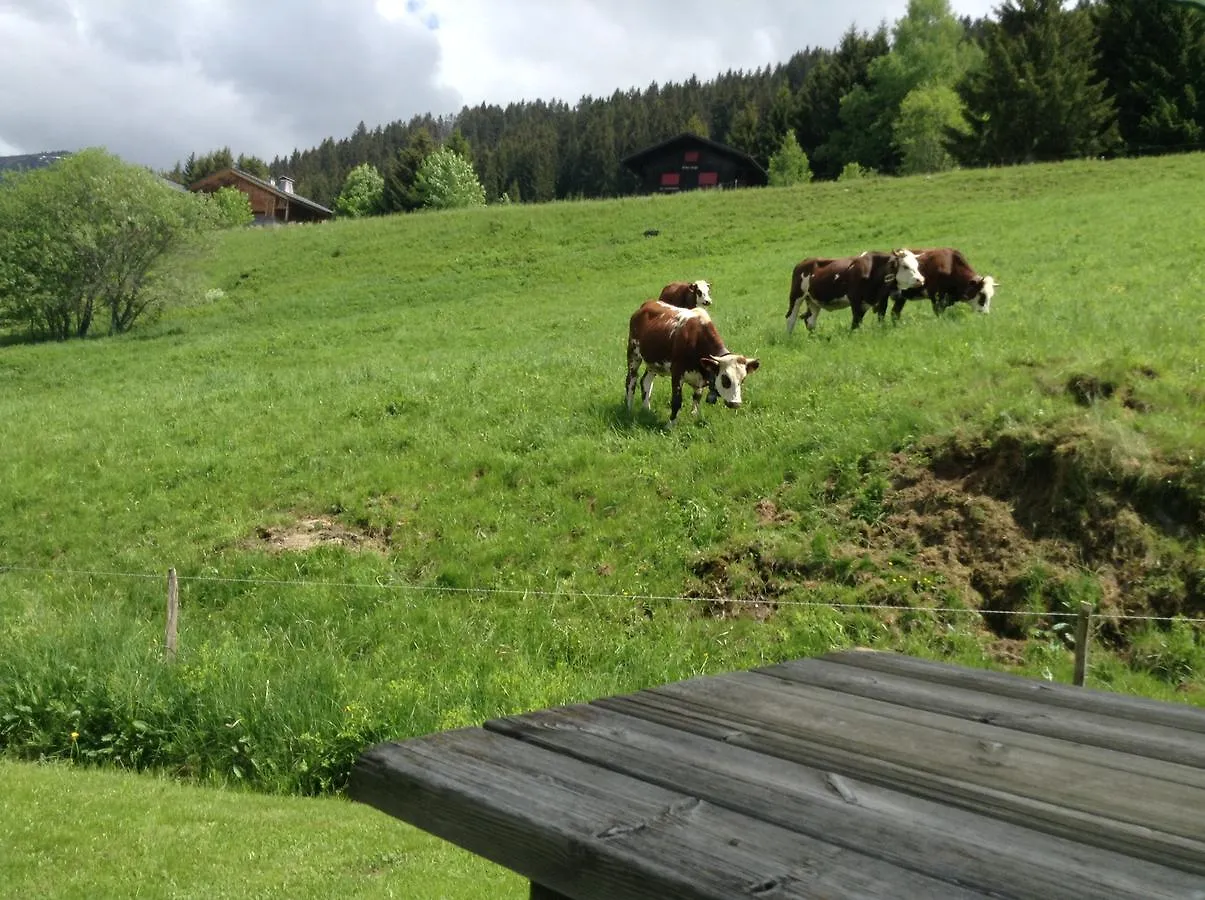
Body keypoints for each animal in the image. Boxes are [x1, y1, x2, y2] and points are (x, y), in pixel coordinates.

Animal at [626, 301, 756, 428]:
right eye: (725, 378)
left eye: (743, 379)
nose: (736, 403)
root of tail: (647, 303)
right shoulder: (677, 373)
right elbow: (677, 400)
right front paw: (670, 424)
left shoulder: (701, 377)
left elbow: (697, 397)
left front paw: (694, 415)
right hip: (633, 354)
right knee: (631, 380)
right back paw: (629, 408)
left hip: (653, 363)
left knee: (645, 382)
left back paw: (646, 409)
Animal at [785, 249, 925, 334]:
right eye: (905, 266)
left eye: (917, 265)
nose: (921, 279)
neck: (873, 270)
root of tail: (803, 262)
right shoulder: (855, 299)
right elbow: (855, 322)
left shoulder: (878, 300)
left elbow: (878, 317)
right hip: (797, 296)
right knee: (791, 319)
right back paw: (788, 338)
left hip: (813, 301)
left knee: (810, 322)